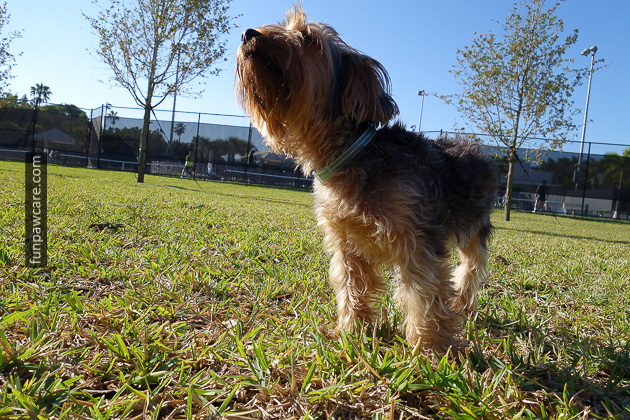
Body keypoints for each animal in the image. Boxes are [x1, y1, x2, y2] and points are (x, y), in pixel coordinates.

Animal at [237, 7, 498, 354]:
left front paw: (430, 347)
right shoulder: (345, 242)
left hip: (473, 222)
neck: (352, 153)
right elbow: (351, 286)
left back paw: (464, 303)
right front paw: (351, 331)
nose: (247, 33)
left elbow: (423, 292)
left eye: (307, 38)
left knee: (471, 264)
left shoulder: (417, 238)